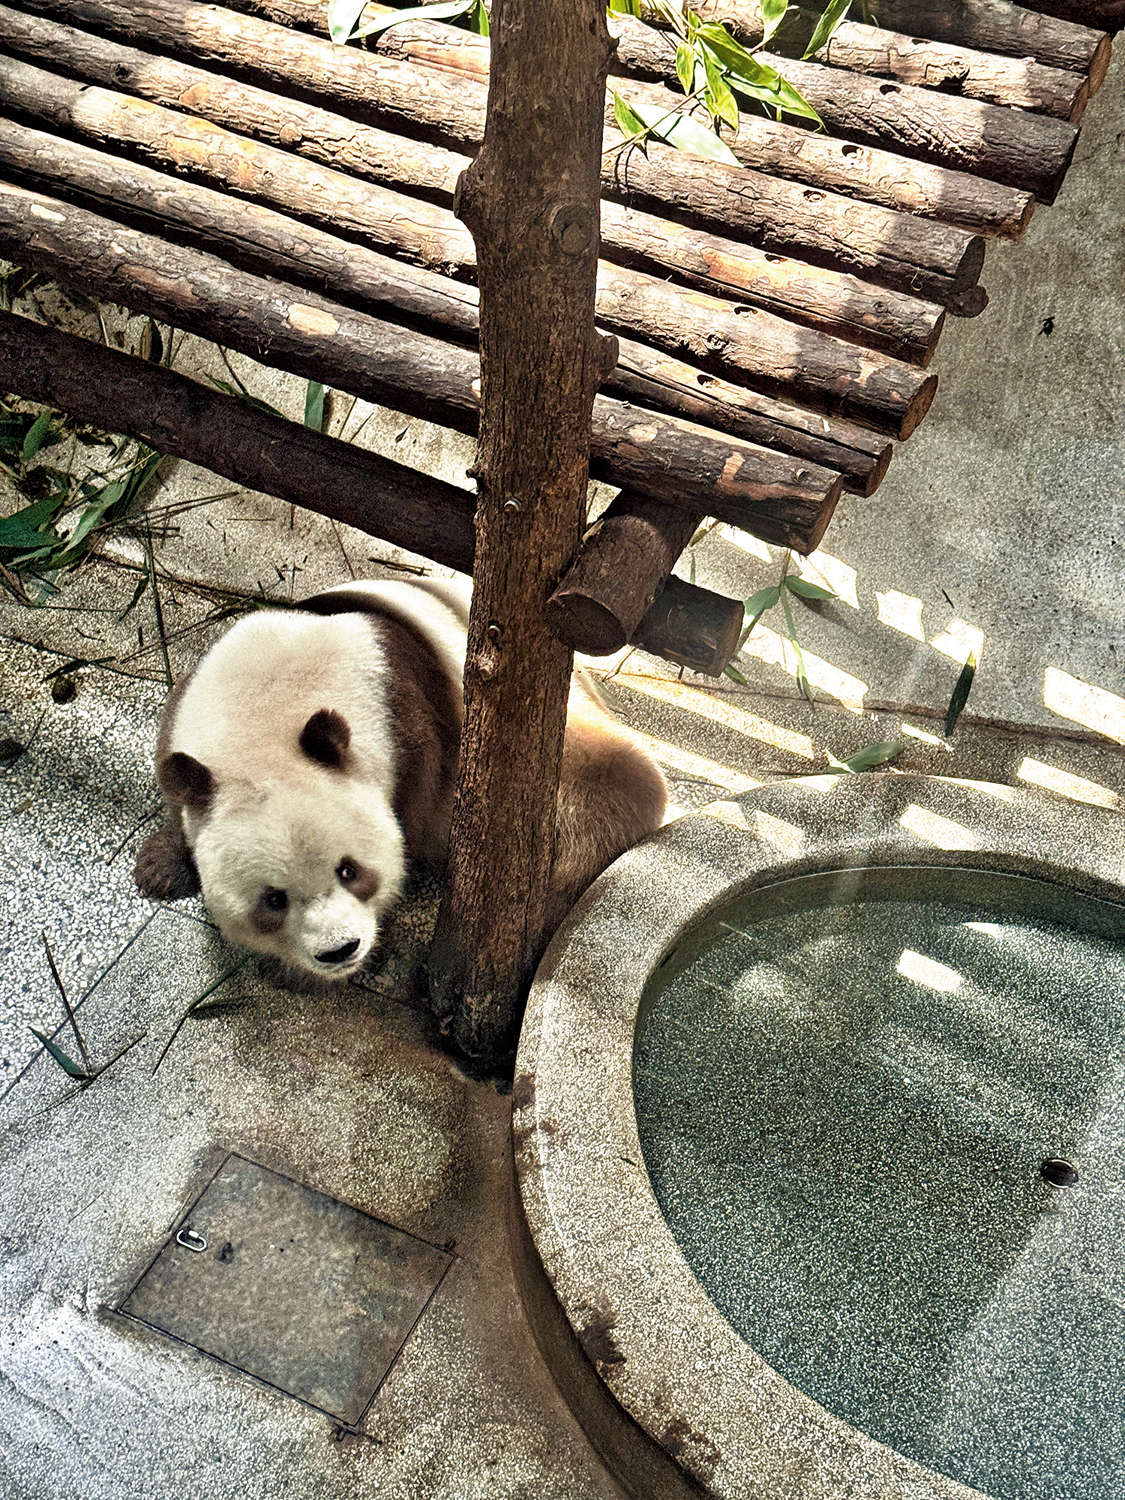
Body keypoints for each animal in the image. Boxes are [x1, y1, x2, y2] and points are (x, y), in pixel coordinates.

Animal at [133, 577, 667, 980]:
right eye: (273, 900)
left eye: (349, 870)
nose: (340, 950)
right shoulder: (186, 713)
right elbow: (177, 789)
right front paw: (159, 866)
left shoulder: (409, 722)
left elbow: (415, 821)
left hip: (572, 742)